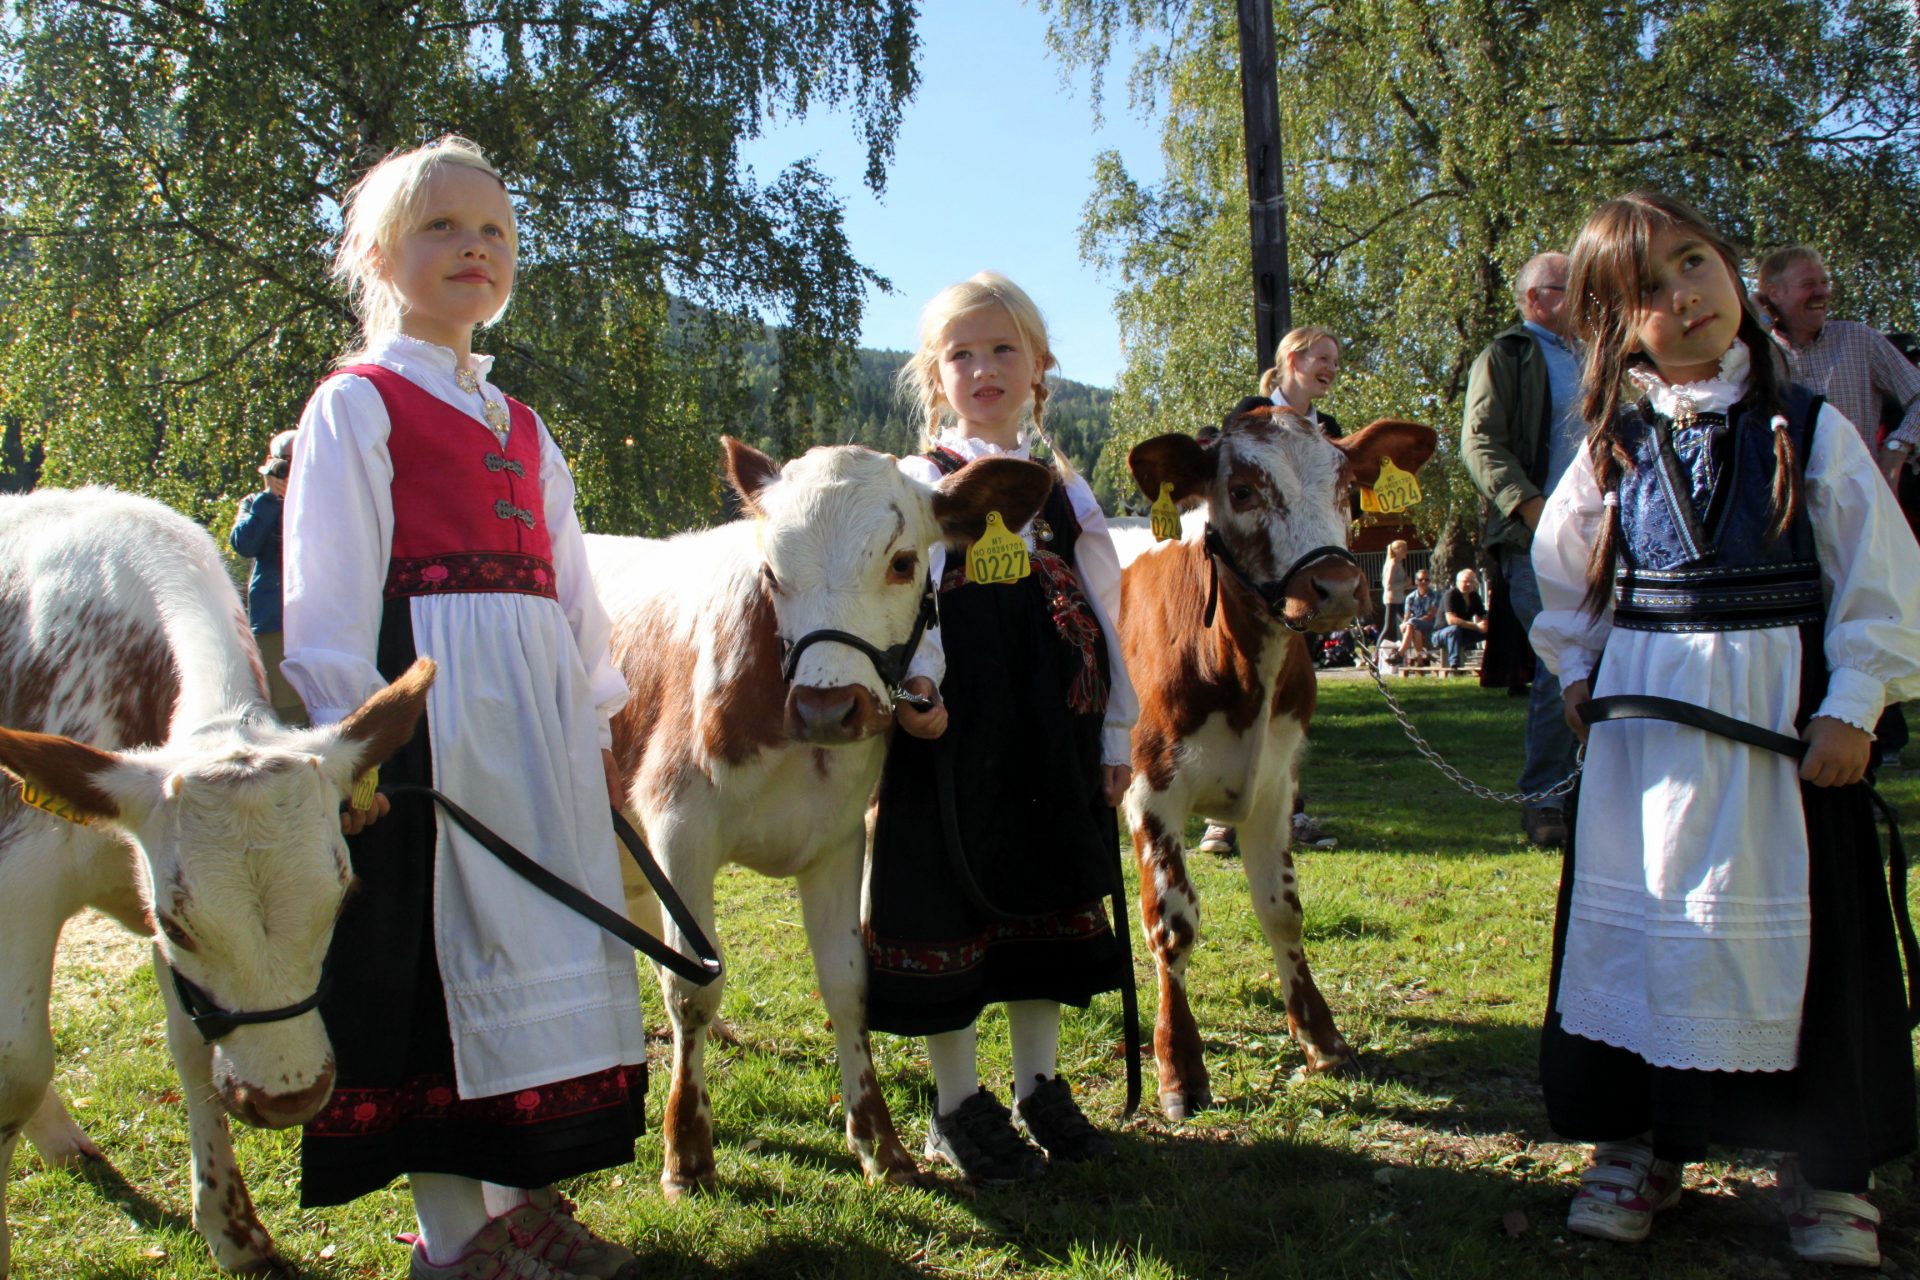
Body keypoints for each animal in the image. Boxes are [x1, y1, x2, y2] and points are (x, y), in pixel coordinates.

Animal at [0, 485, 428, 1274]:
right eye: (177, 922)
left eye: (343, 899)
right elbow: (16, 1065)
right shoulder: (28, 876)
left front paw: (232, 1229)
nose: (289, 1096)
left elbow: (192, 1044)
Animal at [583, 441, 1052, 1205]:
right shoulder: (679, 830)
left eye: (902, 562)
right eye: (771, 571)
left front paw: (880, 1145)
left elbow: (846, 981)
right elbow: (692, 989)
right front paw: (687, 1153)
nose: (827, 708)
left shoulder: (838, 840)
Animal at [1121, 412, 1436, 1120]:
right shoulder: (1151, 791)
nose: (1337, 587)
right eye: (1240, 490)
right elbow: (1172, 924)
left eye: (1347, 489)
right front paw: (1179, 1066)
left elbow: (1282, 909)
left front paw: (1321, 1036)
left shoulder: (1274, 787)